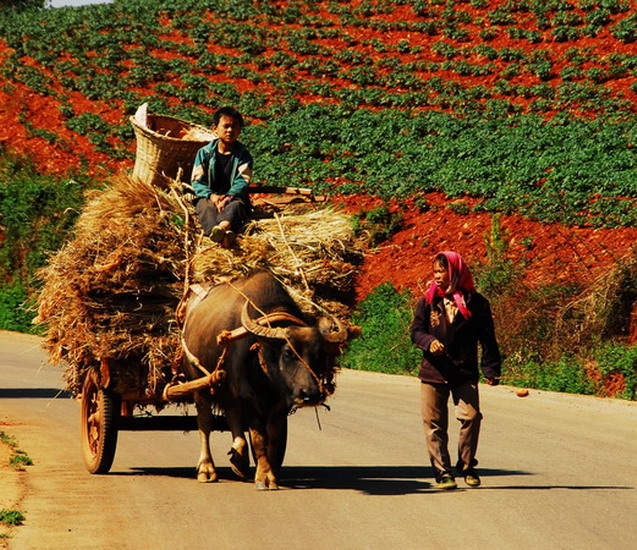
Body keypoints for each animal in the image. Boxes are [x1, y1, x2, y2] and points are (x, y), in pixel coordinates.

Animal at [179, 272, 348, 492]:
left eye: (319, 355)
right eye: (287, 353)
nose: (310, 394)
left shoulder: (280, 404)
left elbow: (274, 439)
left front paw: (271, 473)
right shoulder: (248, 398)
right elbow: (260, 439)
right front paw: (264, 476)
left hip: (226, 387)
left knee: (232, 415)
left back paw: (239, 460)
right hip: (200, 385)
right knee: (205, 423)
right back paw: (207, 469)